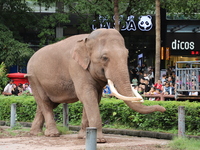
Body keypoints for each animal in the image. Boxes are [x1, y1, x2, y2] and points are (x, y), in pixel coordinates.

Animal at [26, 28, 166, 143]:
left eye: (127, 55)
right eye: (104, 58)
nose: (163, 109)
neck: (87, 39)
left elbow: (94, 97)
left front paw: (84, 136)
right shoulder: (76, 67)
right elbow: (87, 95)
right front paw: (99, 140)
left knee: (47, 104)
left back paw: (35, 133)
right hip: (34, 78)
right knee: (44, 102)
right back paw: (53, 134)